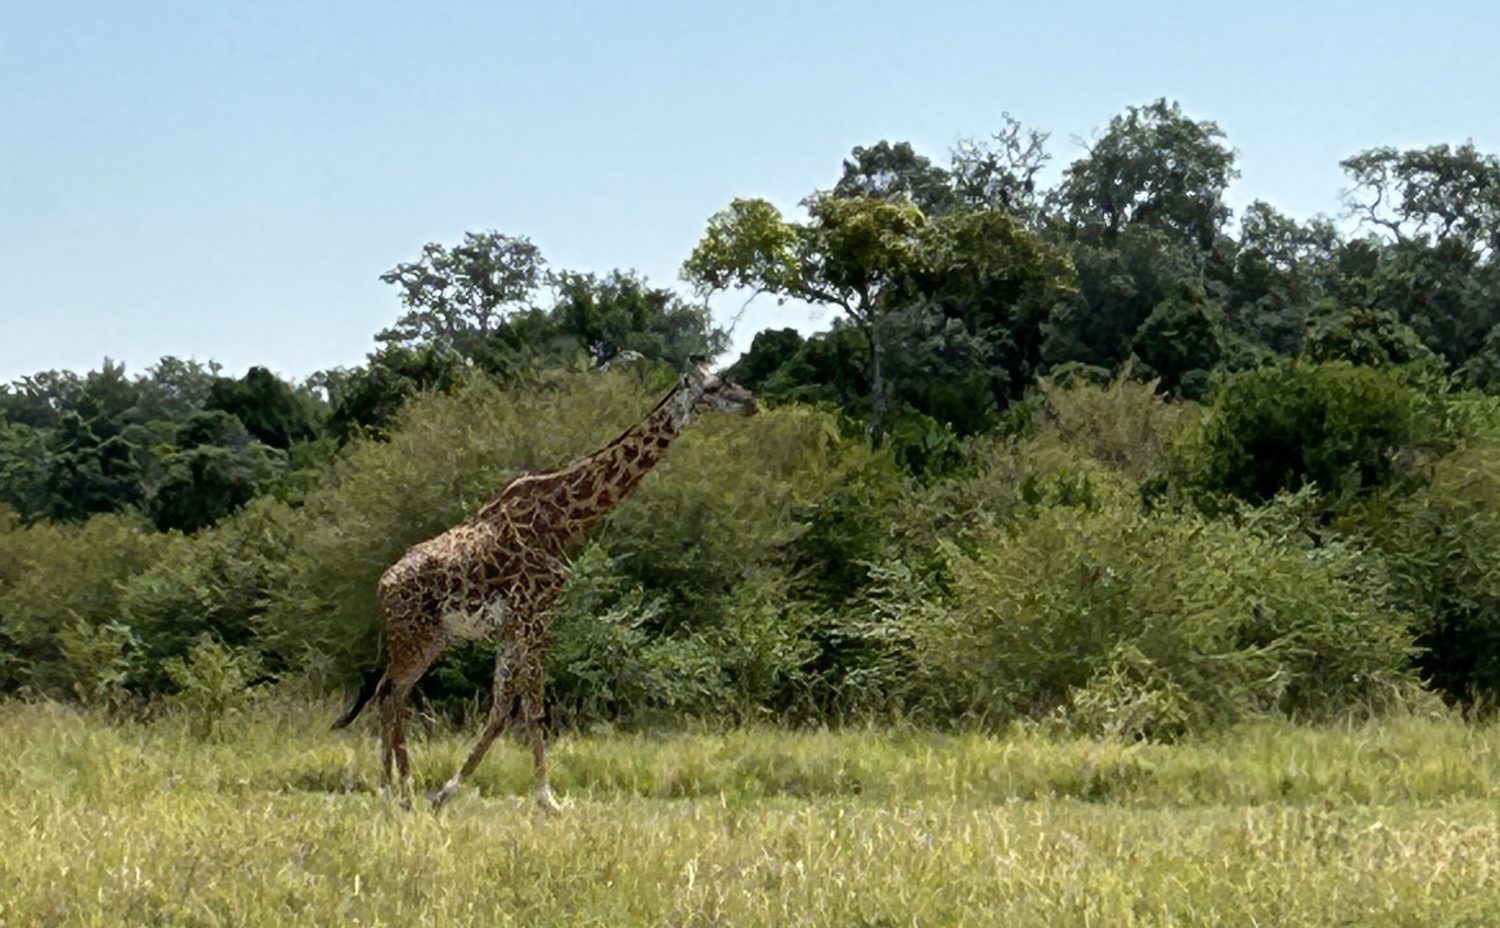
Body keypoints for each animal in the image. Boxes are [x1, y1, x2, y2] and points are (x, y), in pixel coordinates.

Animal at [333, 359, 756, 809]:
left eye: (728, 378)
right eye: (715, 386)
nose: (752, 403)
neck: (560, 522)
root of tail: (382, 586)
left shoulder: (510, 626)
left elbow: (502, 709)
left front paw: (448, 791)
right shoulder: (536, 613)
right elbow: (534, 705)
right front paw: (547, 798)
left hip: (435, 638)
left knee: (393, 692)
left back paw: (402, 791)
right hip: (413, 634)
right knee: (389, 692)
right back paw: (392, 789)